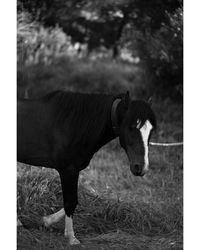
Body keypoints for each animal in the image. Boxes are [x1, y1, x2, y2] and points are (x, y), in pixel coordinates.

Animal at [17, 90, 156, 244]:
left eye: (151, 130)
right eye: (131, 127)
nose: (141, 167)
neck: (72, 125)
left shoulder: (73, 170)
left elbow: (75, 201)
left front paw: (47, 220)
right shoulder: (68, 170)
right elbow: (70, 201)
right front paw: (71, 237)